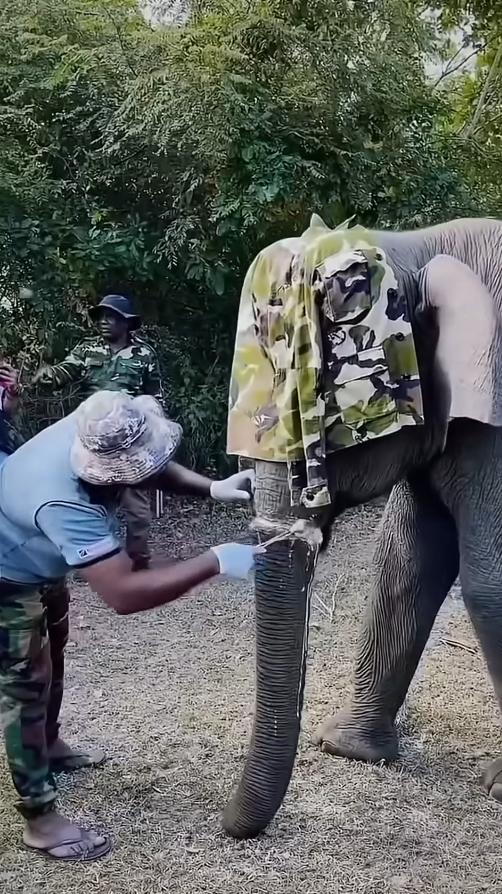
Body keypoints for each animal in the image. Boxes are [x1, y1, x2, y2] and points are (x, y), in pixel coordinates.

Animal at [219, 214, 502, 840]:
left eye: (320, 403)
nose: (225, 825)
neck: (421, 243)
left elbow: (488, 585)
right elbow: (406, 559)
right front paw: (347, 749)